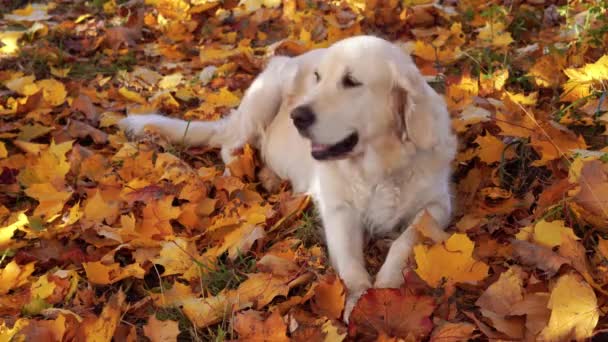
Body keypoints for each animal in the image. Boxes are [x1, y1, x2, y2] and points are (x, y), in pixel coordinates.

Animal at [120, 35, 456, 320]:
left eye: (351, 82)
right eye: (318, 78)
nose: (297, 116)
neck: (378, 168)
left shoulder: (438, 205)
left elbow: (406, 239)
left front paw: (386, 286)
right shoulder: (338, 210)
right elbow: (350, 262)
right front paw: (361, 300)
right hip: (264, 95)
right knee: (231, 147)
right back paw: (239, 177)